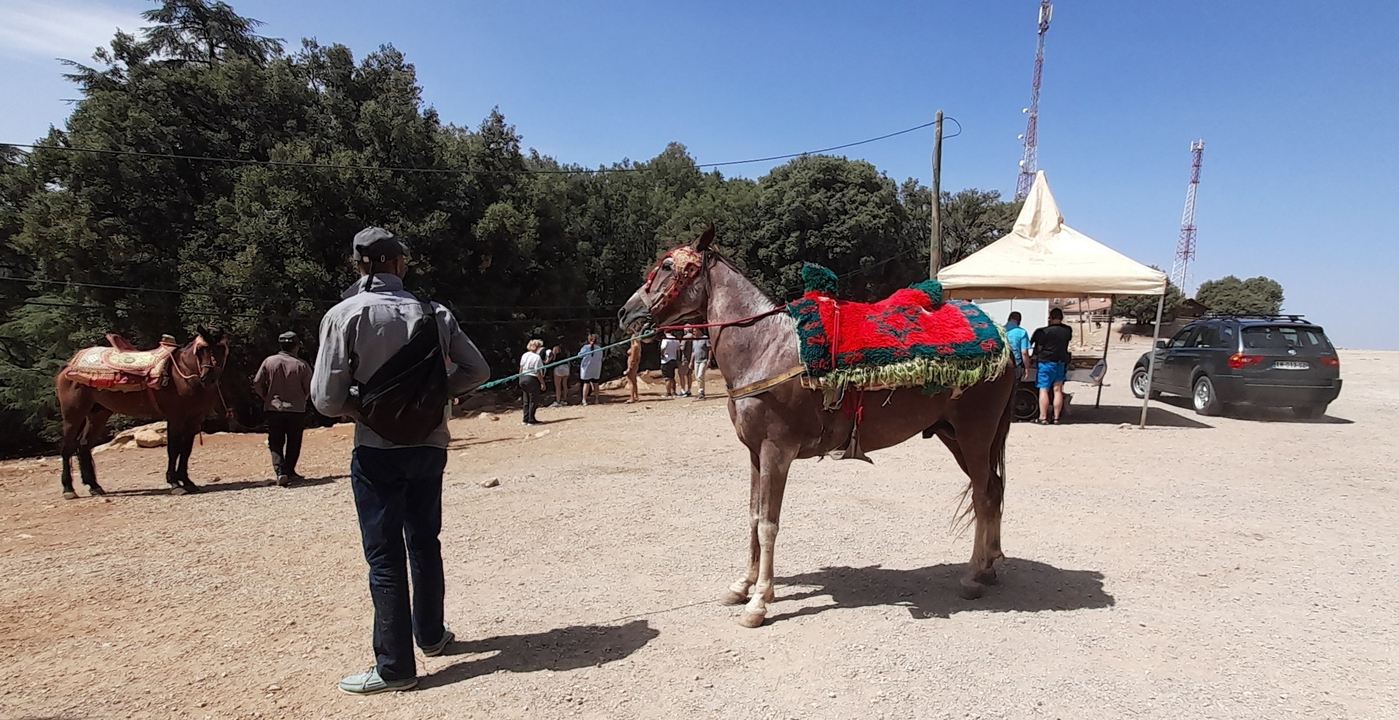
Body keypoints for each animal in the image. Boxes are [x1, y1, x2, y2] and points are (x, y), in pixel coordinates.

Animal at [53, 327, 231, 499]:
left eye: (222, 349)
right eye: (201, 349)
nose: (208, 378)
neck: (183, 374)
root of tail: (68, 365)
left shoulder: (194, 419)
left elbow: (186, 450)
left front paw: (187, 482)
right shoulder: (175, 418)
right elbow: (173, 449)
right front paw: (175, 484)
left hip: (98, 414)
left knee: (83, 445)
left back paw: (94, 486)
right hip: (73, 414)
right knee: (67, 447)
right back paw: (69, 490)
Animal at [619, 228, 1017, 628]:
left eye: (667, 266)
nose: (626, 312)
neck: (763, 347)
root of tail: (1004, 342)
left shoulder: (776, 451)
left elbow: (768, 524)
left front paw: (759, 601)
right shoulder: (754, 454)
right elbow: (753, 516)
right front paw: (743, 585)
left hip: (974, 435)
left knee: (983, 497)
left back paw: (973, 576)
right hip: (956, 437)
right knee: (994, 490)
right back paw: (989, 567)